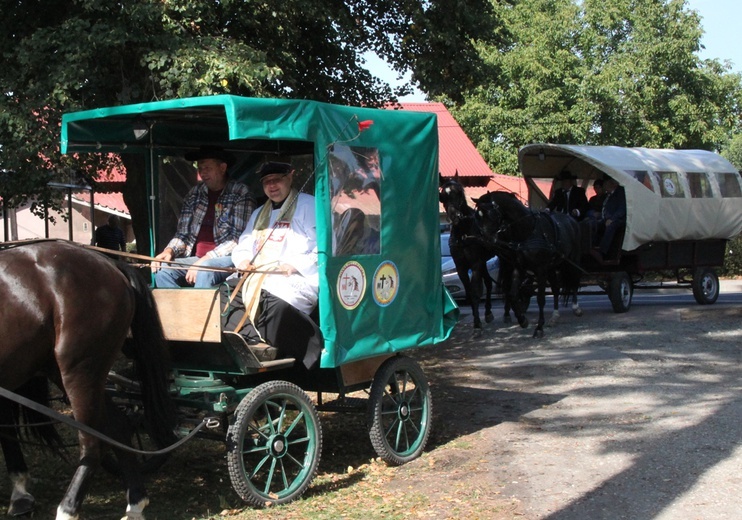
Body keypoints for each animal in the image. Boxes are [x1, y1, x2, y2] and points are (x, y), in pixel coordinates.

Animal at [0, 242, 176, 520]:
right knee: (118, 427)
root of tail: (109, 263)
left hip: (80, 370)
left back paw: (68, 508)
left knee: (91, 443)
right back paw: (135, 504)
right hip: (76, 372)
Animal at [438, 179, 496, 332]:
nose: (456, 217)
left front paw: (477, 324)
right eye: (443, 197)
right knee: (488, 283)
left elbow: (475, 293)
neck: (463, 233)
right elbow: (470, 292)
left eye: (459, 192)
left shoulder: (475, 265)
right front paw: (477, 318)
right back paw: (488, 312)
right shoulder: (461, 268)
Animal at [476, 191, 588, 338]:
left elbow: (540, 298)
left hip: (573, 259)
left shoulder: (540, 270)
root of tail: (571, 219)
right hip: (552, 266)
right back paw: (555, 315)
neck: (528, 231)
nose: (485, 241)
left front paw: (539, 327)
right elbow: (513, 294)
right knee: (556, 288)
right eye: (477, 216)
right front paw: (522, 320)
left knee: (574, 279)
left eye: (491, 214)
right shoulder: (519, 268)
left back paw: (576, 307)